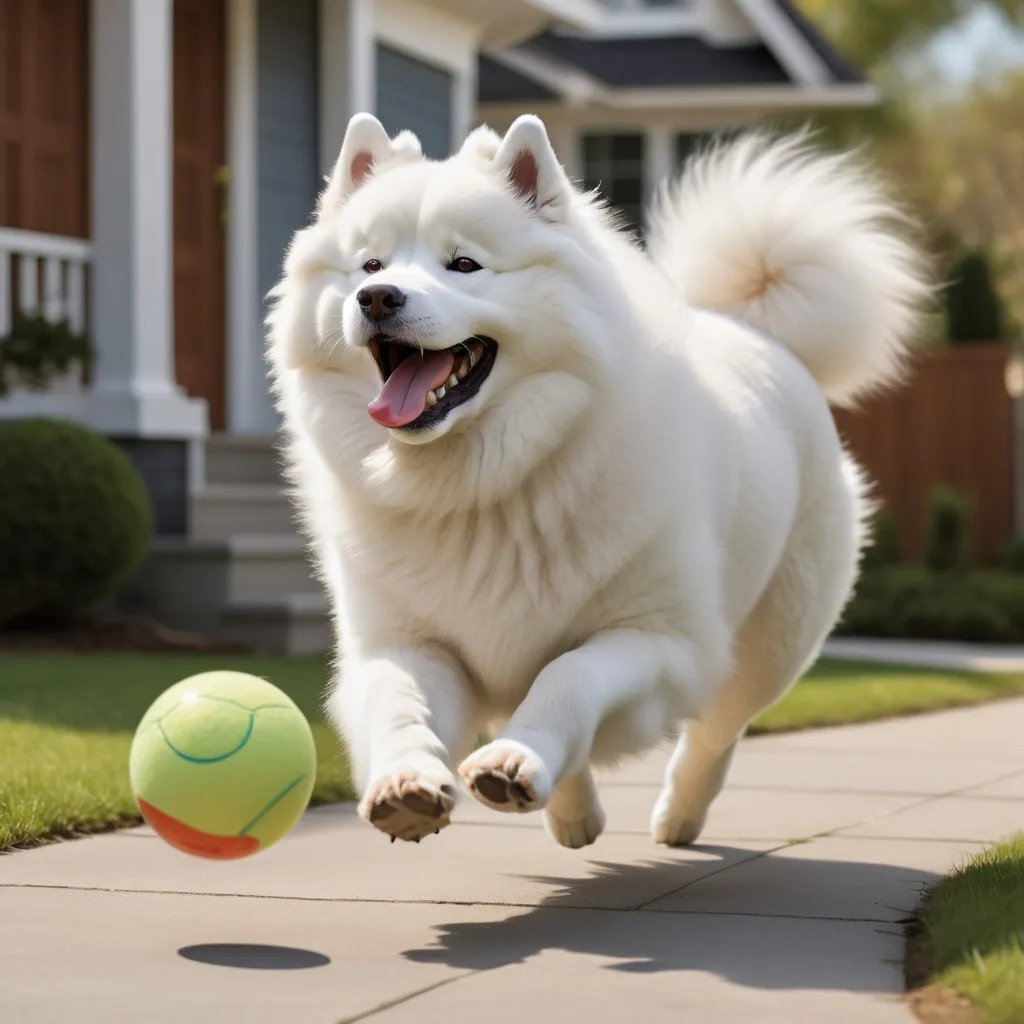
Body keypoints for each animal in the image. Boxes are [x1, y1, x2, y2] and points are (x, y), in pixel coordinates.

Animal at [268, 112, 933, 847]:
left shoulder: (658, 641)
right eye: (370, 264)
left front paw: (516, 758)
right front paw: (408, 784)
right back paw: (573, 813)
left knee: (716, 732)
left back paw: (677, 817)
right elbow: (399, 704)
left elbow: (570, 676)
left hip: (770, 647)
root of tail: (758, 332)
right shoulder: (407, 643)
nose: (377, 298)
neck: (484, 487)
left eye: (464, 264)